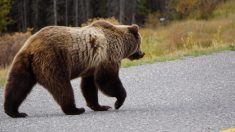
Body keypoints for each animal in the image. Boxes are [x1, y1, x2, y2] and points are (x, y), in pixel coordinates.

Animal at [3, 20, 145, 117]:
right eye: (140, 43)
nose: (142, 53)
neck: (121, 43)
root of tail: (32, 47)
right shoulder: (108, 55)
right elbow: (107, 80)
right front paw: (117, 102)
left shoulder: (92, 65)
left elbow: (89, 85)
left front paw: (100, 106)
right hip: (53, 60)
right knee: (61, 86)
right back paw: (75, 109)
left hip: (24, 64)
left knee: (17, 85)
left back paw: (14, 111)